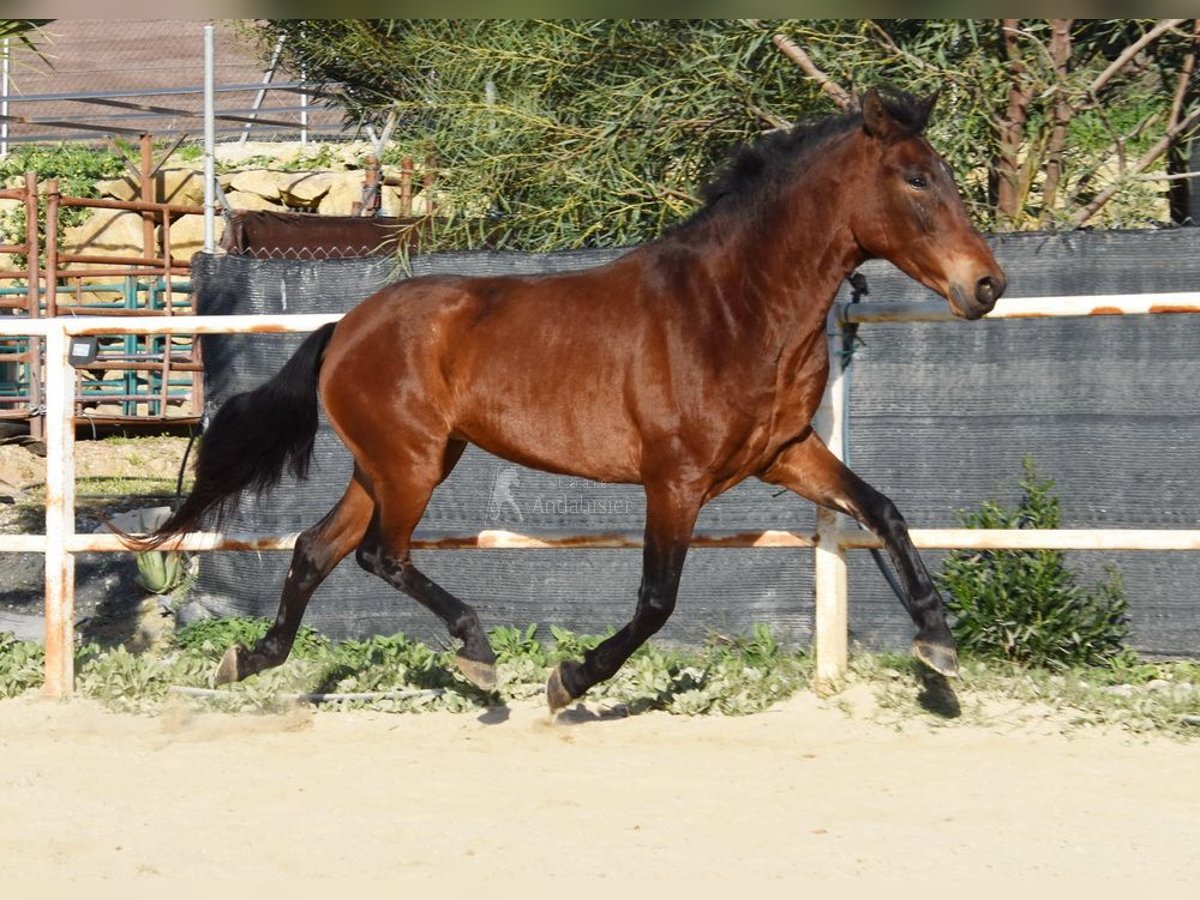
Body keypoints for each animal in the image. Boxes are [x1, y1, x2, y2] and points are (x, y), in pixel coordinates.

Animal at [124, 90, 1003, 710]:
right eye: (916, 178)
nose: (987, 285)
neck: (732, 308)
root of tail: (345, 326)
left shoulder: (784, 454)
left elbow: (883, 509)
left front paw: (937, 645)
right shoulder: (675, 479)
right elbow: (656, 600)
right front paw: (570, 680)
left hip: (394, 464)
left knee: (316, 548)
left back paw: (250, 660)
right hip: (410, 465)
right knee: (381, 554)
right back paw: (478, 657)